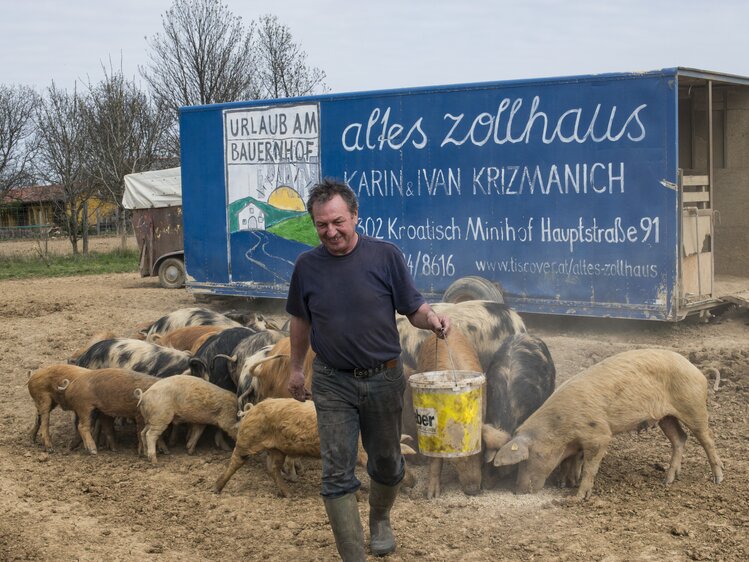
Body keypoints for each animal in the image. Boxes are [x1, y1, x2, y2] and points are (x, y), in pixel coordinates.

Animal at [490, 346, 724, 498]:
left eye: (533, 456)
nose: (518, 490)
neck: (560, 429)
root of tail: (696, 369)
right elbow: (572, 460)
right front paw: (565, 483)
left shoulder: (599, 434)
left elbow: (590, 466)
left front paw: (578, 497)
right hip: (666, 417)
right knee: (680, 438)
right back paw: (667, 480)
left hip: (693, 406)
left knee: (707, 439)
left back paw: (718, 478)